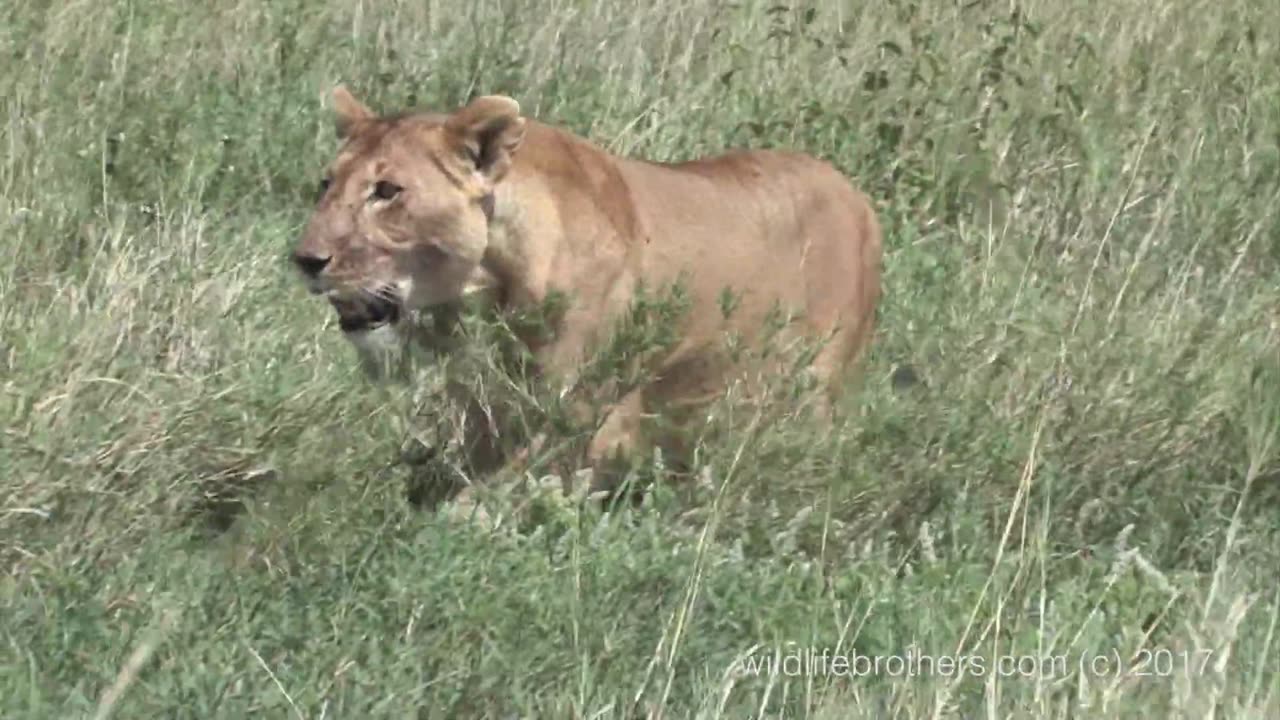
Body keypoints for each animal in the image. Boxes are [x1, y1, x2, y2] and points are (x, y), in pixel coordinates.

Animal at [293, 83, 880, 507]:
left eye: (387, 192)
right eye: (326, 184)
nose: (305, 260)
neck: (489, 284)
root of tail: (858, 198)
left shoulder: (580, 420)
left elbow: (472, 507)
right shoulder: (487, 409)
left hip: (808, 395)